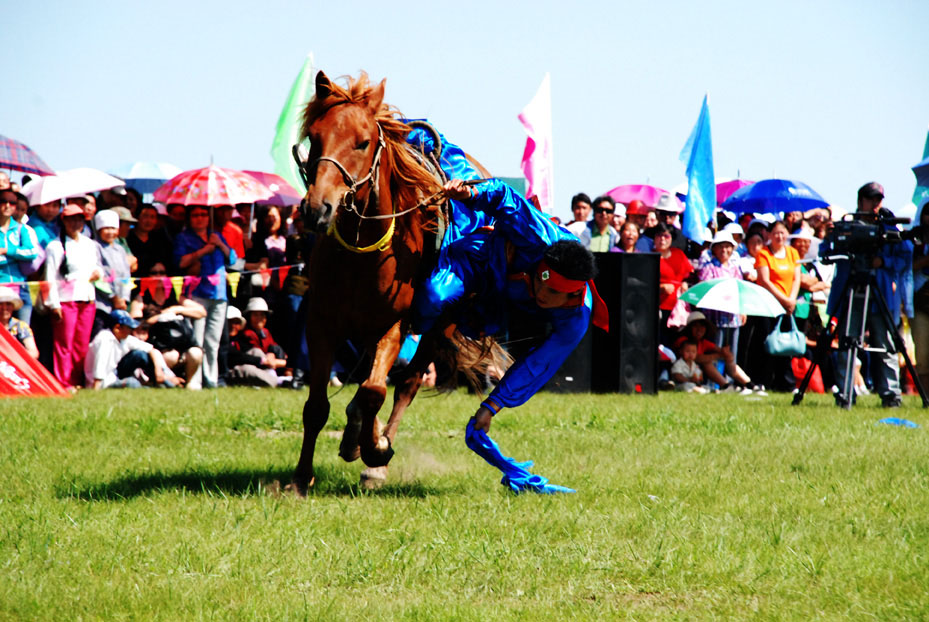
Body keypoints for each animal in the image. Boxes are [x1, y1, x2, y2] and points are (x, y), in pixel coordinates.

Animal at [288, 70, 464, 494]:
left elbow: (374, 391)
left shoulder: (395, 326)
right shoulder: (322, 323)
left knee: (407, 383)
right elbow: (317, 406)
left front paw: (375, 450)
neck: (362, 253)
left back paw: (374, 450)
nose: (317, 208)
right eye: (314, 137)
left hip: (439, 327)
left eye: (363, 142)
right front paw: (301, 478)